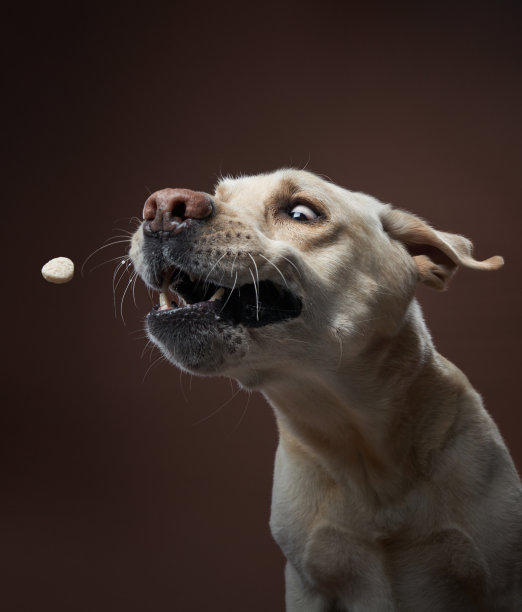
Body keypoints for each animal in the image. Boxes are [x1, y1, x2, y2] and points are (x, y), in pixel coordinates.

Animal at [129, 170, 520, 608]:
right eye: (221, 194)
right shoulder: (307, 586)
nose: (162, 208)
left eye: (302, 213)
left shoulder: (503, 582)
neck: (362, 452)